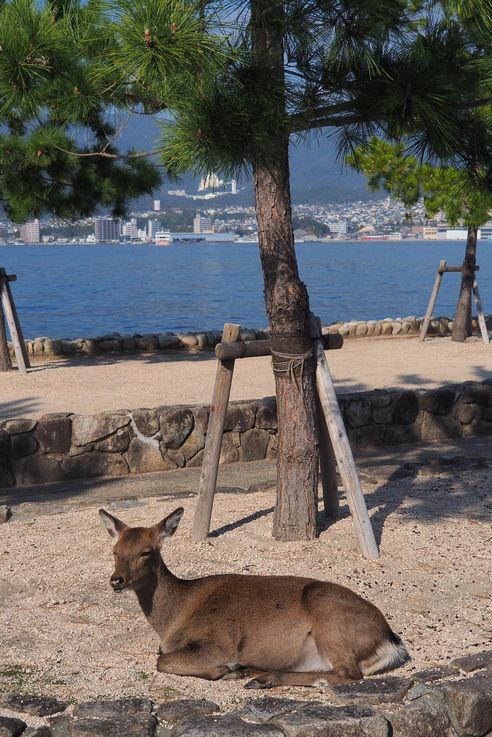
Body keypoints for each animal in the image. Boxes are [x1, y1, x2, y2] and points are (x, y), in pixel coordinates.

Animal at [99, 504, 408, 688]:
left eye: (145, 552)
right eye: (115, 551)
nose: (116, 580)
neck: (172, 620)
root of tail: (390, 642)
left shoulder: (216, 643)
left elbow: (161, 661)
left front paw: (226, 670)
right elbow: (161, 658)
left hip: (329, 617)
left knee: (348, 673)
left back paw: (258, 676)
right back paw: (254, 673)